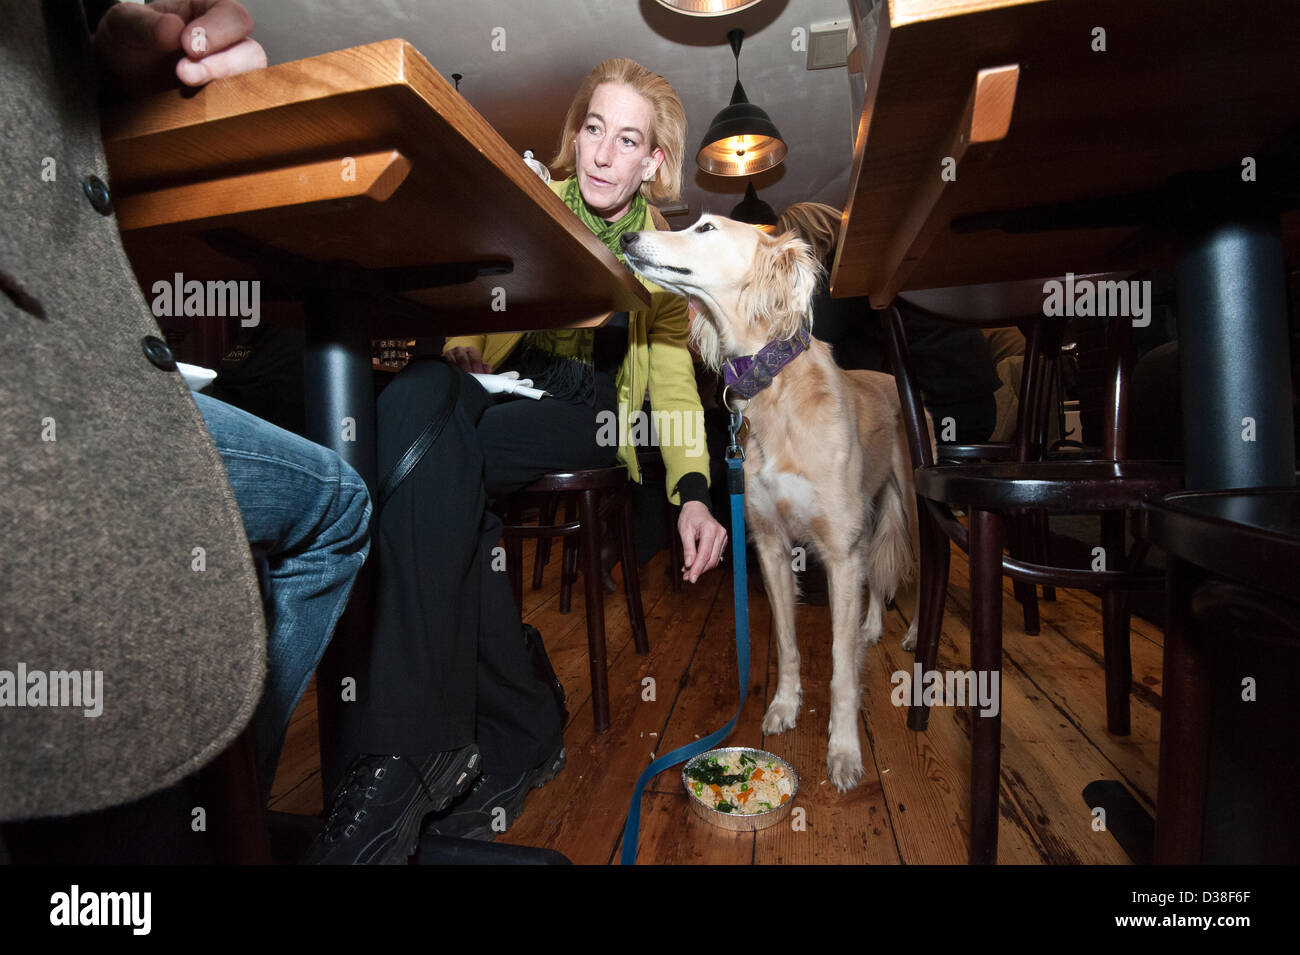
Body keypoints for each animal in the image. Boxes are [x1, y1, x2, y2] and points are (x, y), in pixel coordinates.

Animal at [621, 216, 920, 789]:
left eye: (706, 227)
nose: (626, 239)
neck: (774, 387)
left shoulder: (840, 554)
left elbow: (840, 667)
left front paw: (843, 749)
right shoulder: (772, 547)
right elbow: (786, 640)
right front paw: (785, 706)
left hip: (914, 512)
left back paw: (914, 632)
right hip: (873, 514)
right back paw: (873, 626)